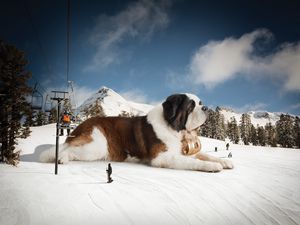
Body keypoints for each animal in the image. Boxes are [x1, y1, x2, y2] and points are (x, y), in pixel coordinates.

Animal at [39, 93, 233, 172]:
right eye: (191, 106)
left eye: (200, 103)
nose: (206, 108)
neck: (174, 128)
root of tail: (83, 124)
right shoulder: (162, 157)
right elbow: (193, 161)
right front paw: (212, 166)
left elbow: (205, 155)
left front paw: (223, 162)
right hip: (96, 145)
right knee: (68, 149)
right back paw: (61, 159)